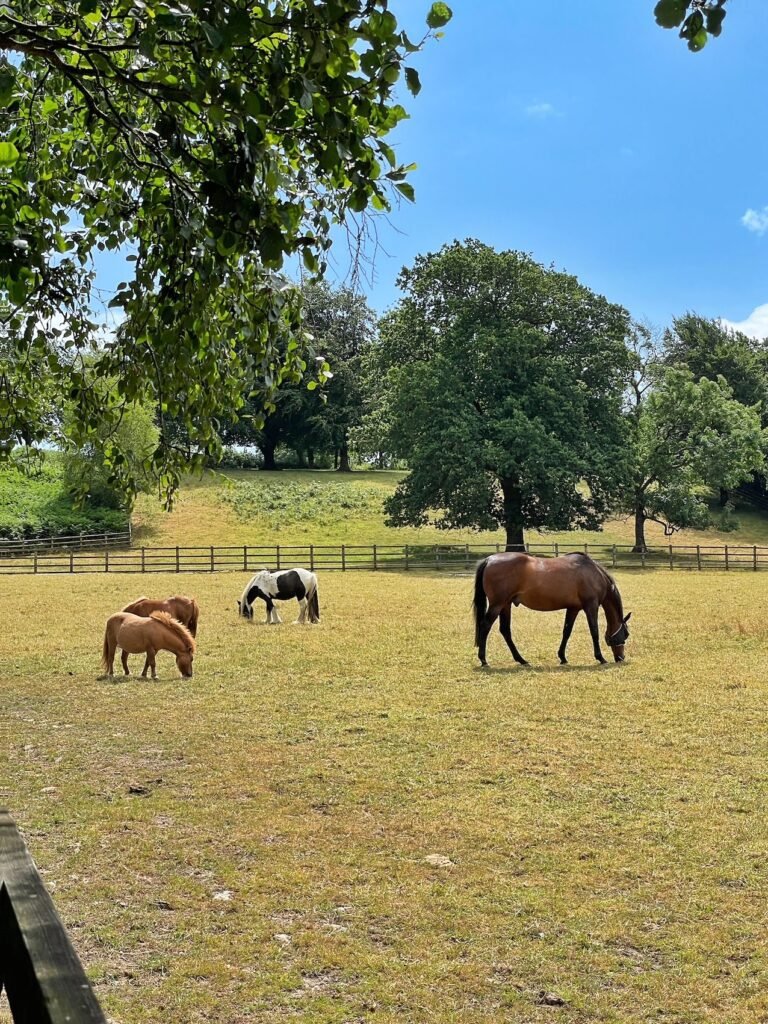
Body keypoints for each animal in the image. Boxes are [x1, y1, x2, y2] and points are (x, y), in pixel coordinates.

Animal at [475, 557, 630, 667]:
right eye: (626, 634)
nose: (621, 658)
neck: (593, 573)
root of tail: (489, 560)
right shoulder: (591, 606)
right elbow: (594, 631)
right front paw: (600, 658)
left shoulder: (573, 608)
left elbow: (566, 632)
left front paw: (562, 657)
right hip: (497, 605)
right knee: (485, 626)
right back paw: (483, 660)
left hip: (505, 605)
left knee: (505, 630)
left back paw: (521, 660)